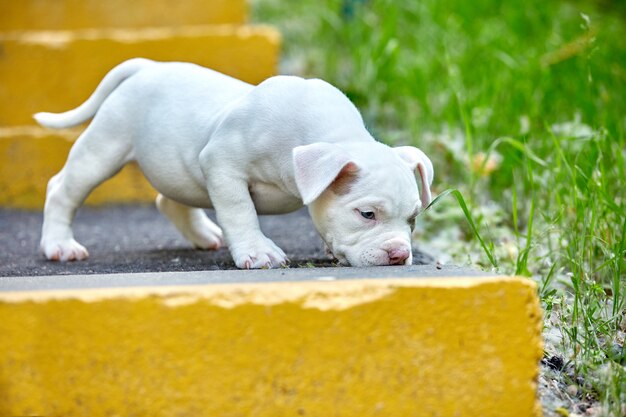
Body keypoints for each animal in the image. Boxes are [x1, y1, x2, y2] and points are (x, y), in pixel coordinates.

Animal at [36, 57, 432, 266]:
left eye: (413, 220)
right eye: (367, 214)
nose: (400, 254)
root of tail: (147, 66)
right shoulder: (222, 164)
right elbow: (240, 211)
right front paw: (258, 251)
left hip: (176, 168)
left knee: (170, 199)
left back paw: (203, 235)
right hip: (103, 148)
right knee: (61, 190)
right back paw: (60, 244)